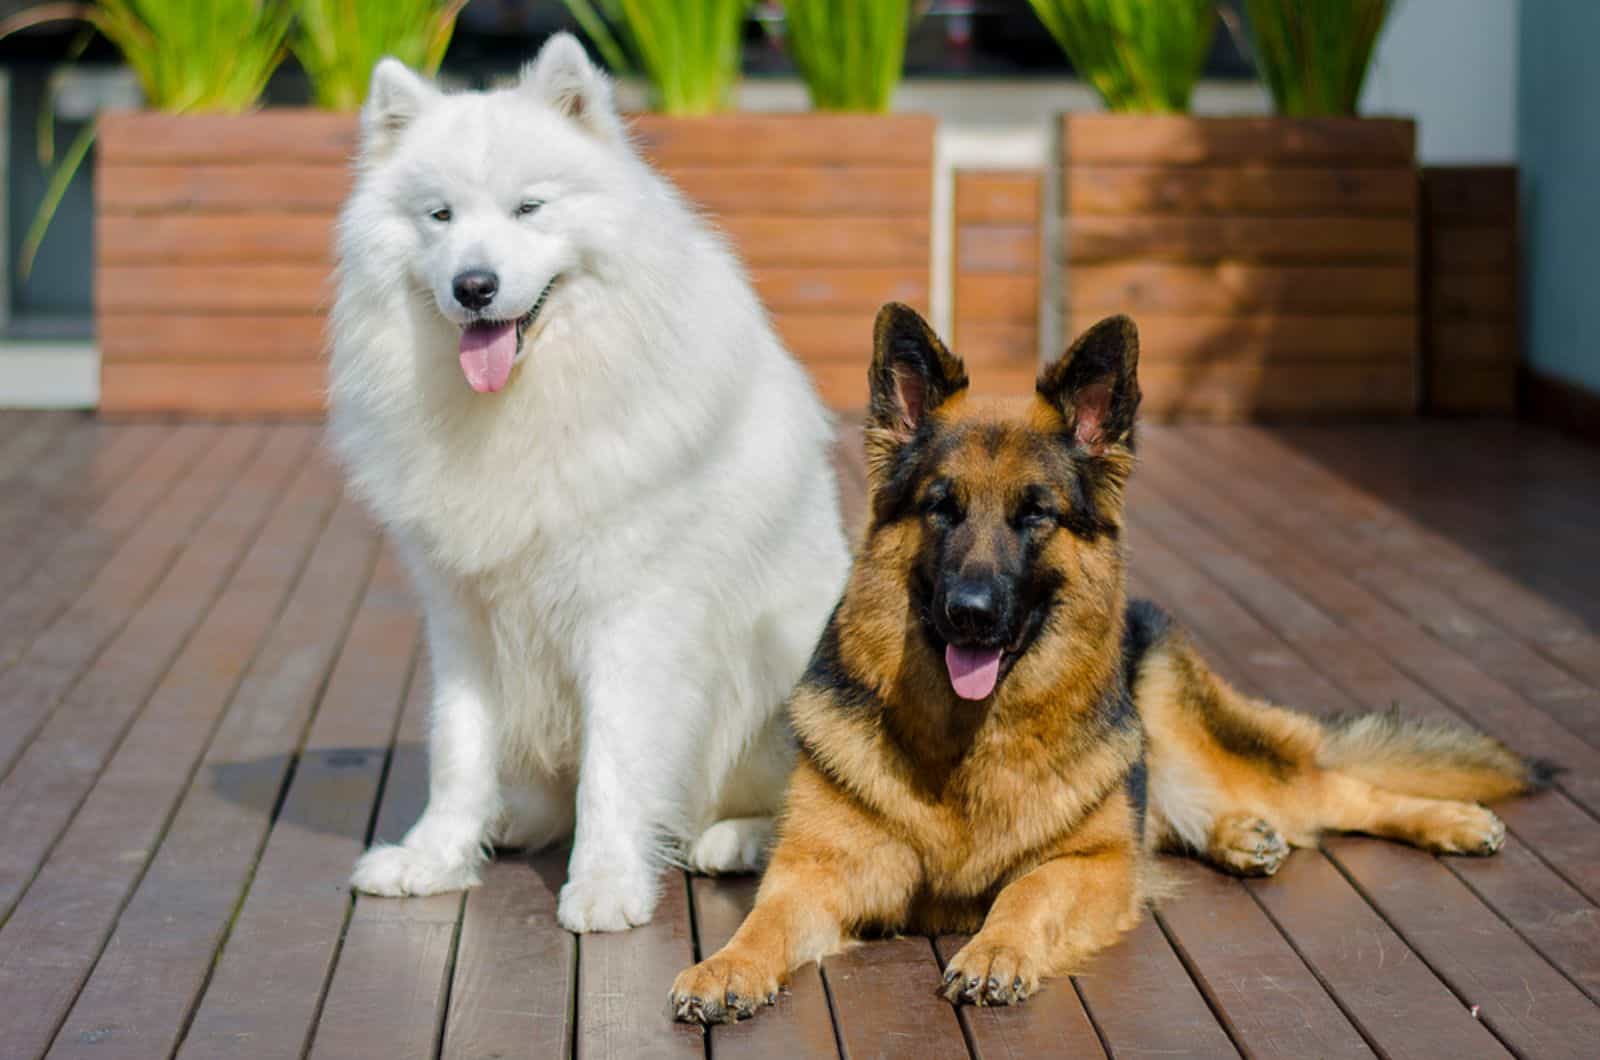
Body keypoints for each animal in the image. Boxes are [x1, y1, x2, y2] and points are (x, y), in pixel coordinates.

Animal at [324, 33, 851, 935]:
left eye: (529, 208)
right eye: (440, 216)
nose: (473, 286)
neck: (527, 404)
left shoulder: (629, 612)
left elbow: (616, 763)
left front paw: (605, 885)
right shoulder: (464, 609)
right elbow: (459, 747)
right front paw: (436, 857)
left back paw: (732, 839)